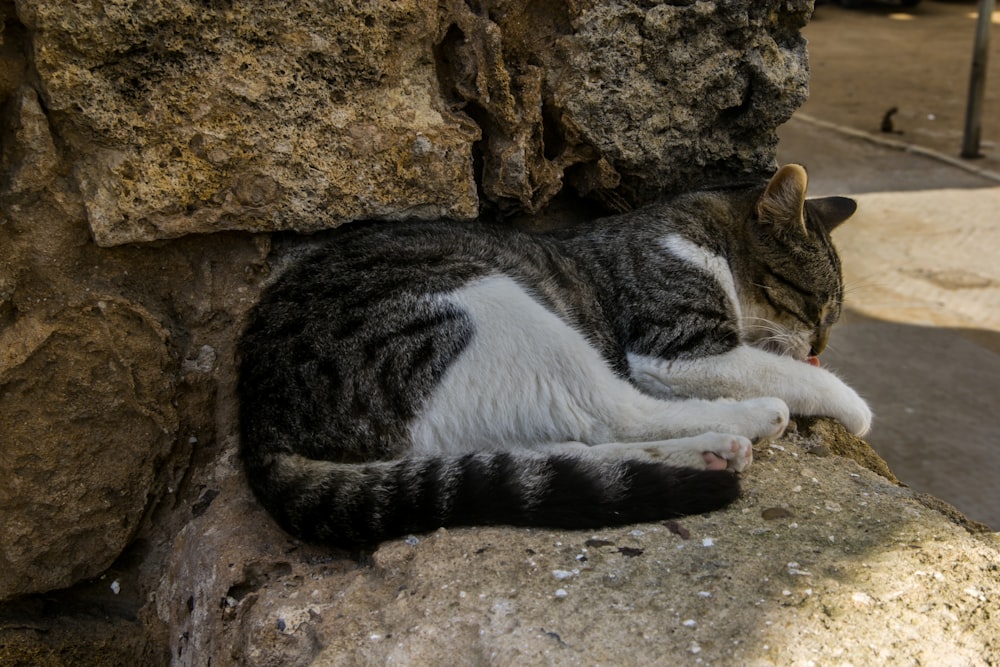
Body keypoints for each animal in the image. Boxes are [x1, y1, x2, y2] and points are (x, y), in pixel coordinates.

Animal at [238, 164, 872, 552]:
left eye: (834, 317)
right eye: (816, 306)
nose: (820, 346)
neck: (694, 232)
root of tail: (260, 420)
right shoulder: (674, 349)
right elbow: (777, 369)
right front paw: (851, 406)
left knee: (563, 445)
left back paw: (707, 453)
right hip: (489, 305)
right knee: (609, 414)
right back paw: (747, 423)